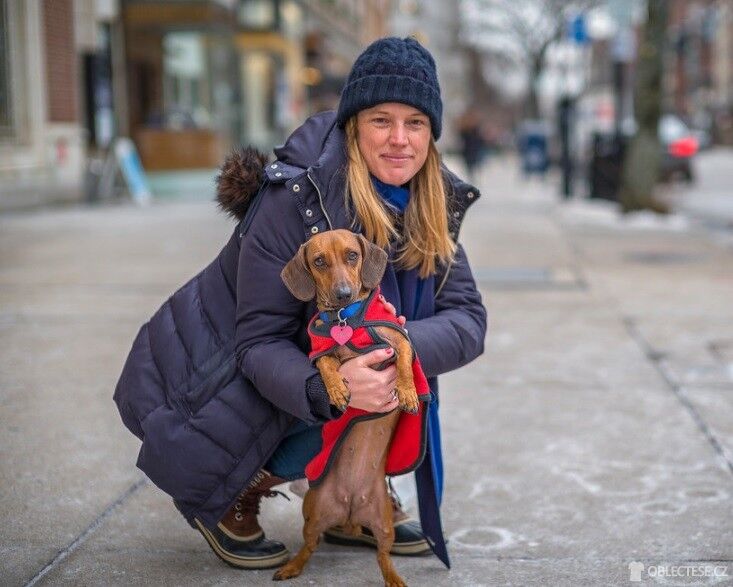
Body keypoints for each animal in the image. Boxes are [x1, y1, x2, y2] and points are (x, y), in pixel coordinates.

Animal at [274, 230, 420, 587]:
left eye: (352, 255)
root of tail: (352, 509)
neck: (346, 318)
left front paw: (408, 392)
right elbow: (326, 364)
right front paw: (338, 389)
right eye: (319, 261)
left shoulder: (399, 340)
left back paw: (394, 578)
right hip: (313, 512)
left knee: (383, 556)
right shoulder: (322, 351)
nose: (342, 293)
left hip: (383, 522)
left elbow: (404, 362)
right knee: (309, 546)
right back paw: (292, 567)